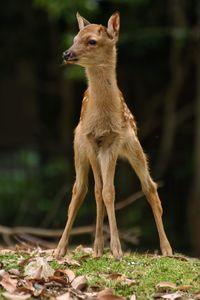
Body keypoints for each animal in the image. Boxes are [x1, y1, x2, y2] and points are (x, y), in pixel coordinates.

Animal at [54, 12, 173, 258]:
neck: (101, 118)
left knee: (149, 186)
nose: (66, 53)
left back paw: (167, 249)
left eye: (92, 41)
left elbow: (109, 192)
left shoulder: (114, 140)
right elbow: (98, 191)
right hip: (78, 148)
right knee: (80, 189)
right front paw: (99, 248)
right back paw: (67, 249)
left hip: (134, 145)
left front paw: (117, 250)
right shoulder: (89, 140)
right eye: (74, 38)